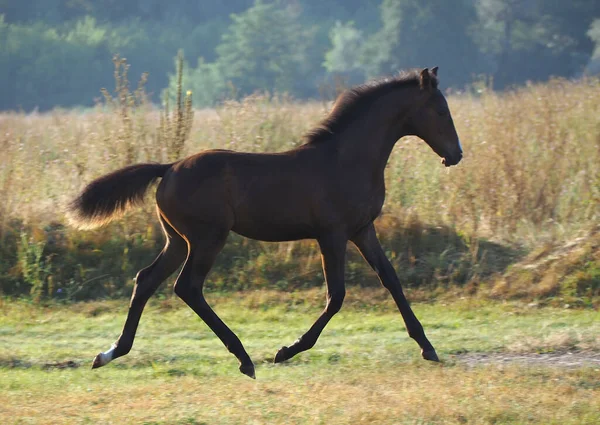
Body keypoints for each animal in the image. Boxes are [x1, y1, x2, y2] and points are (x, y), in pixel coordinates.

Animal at [70, 67, 464, 378]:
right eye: (440, 109)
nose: (456, 154)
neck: (347, 160)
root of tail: (168, 169)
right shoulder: (331, 234)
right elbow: (336, 295)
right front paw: (286, 350)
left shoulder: (362, 230)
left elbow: (391, 279)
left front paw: (428, 347)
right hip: (207, 238)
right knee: (188, 287)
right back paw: (244, 358)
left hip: (178, 240)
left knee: (146, 280)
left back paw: (110, 353)